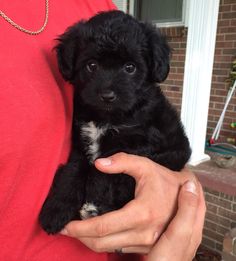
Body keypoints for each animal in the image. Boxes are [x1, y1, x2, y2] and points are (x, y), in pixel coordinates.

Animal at [39, 10, 191, 234]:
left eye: (130, 67)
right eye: (91, 65)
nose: (107, 96)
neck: (105, 117)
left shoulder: (136, 142)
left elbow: (103, 168)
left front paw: (95, 198)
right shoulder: (82, 141)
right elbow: (73, 170)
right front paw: (57, 209)